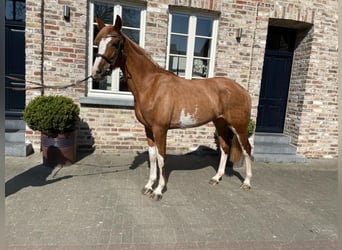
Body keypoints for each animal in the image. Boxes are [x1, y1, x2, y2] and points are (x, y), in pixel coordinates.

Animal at [92, 15, 252, 200]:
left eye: (115, 43)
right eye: (97, 42)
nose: (96, 72)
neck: (150, 85)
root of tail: (243, 90)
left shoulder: (160, 129)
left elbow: (161, 158)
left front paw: (158, 190)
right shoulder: (149, 129)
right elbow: (153, 157)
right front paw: (149, 186)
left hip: (239, 126)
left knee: (247, 149)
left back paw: (247, 182)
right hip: (220, 123)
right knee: (225, 148)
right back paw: (216, 178)